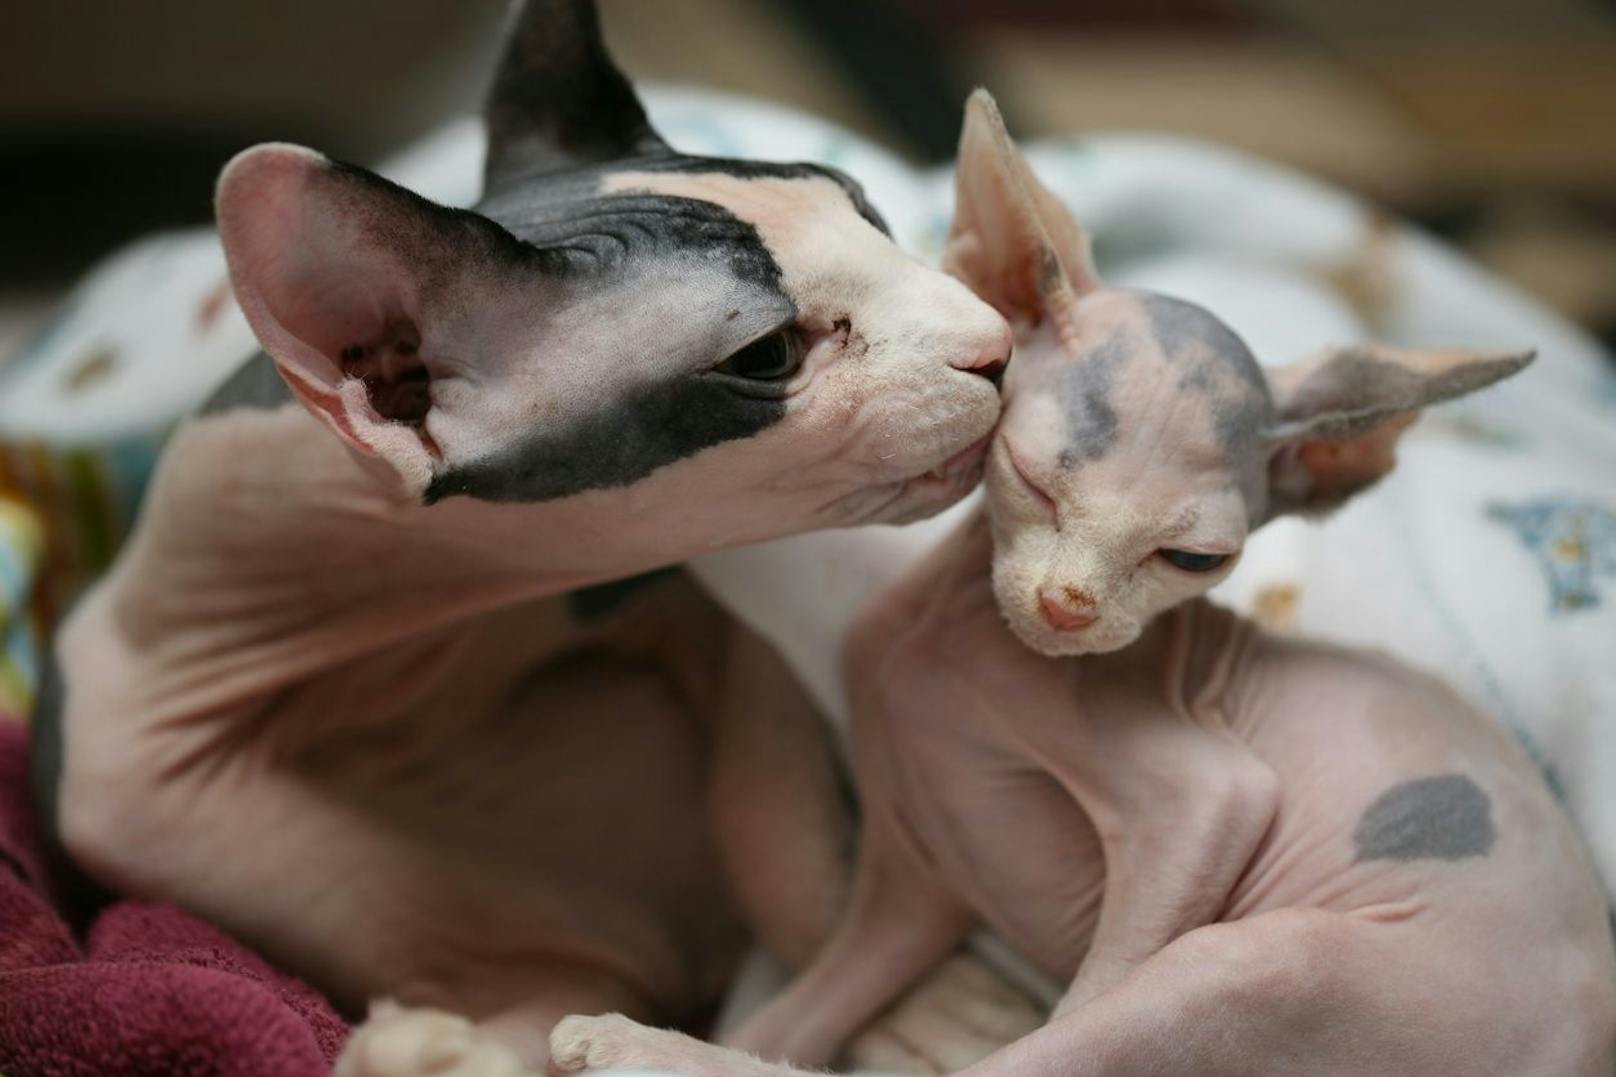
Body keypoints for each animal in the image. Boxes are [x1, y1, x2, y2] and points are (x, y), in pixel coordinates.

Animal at [28, 4, 1021, 1067]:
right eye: (767, 355)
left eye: (870, 211)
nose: (1000, 344)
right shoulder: (557, 968)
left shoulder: (682, 611)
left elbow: (775, 830)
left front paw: (926, 1012)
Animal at [546, 90, 1616, 1073]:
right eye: (1027, 474)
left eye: (1197, 560)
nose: (1070, 609)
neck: (954, 643)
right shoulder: (915, 882)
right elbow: (798, 1016)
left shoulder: (1206, 802)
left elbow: (1079, 1008)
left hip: (1265, 962)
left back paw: (623, 1041)